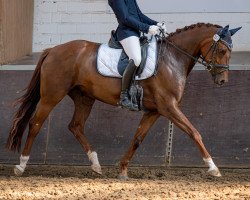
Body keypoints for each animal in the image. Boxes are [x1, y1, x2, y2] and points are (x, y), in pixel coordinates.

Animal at [5, 22, 240, 179]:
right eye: (221, 50)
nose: (222, 80)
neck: (172, 58)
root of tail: (52, 49)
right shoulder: (169, 107)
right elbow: (194, 132)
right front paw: (213, 167)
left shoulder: (154, 111)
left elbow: (137, 139)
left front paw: (123, 170)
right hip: (52, 95)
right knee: (36, 124)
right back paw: (21, 166)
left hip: (84, 98)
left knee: (76, 126)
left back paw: (96, 164)